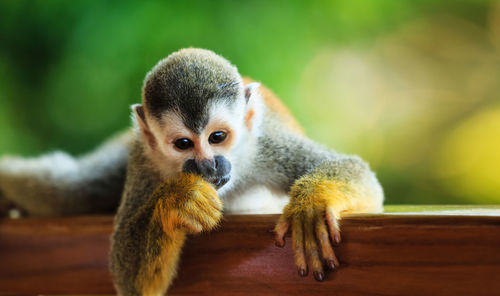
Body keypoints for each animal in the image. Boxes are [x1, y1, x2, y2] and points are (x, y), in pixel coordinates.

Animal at [0, 48, 382, 296]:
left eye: (217, 137)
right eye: (184, 144)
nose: (208, 165)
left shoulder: (266, 146)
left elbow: (359, 173)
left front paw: (311, 206)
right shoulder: (144, 159)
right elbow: (131, 280)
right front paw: (177, 202)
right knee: (69, 189)